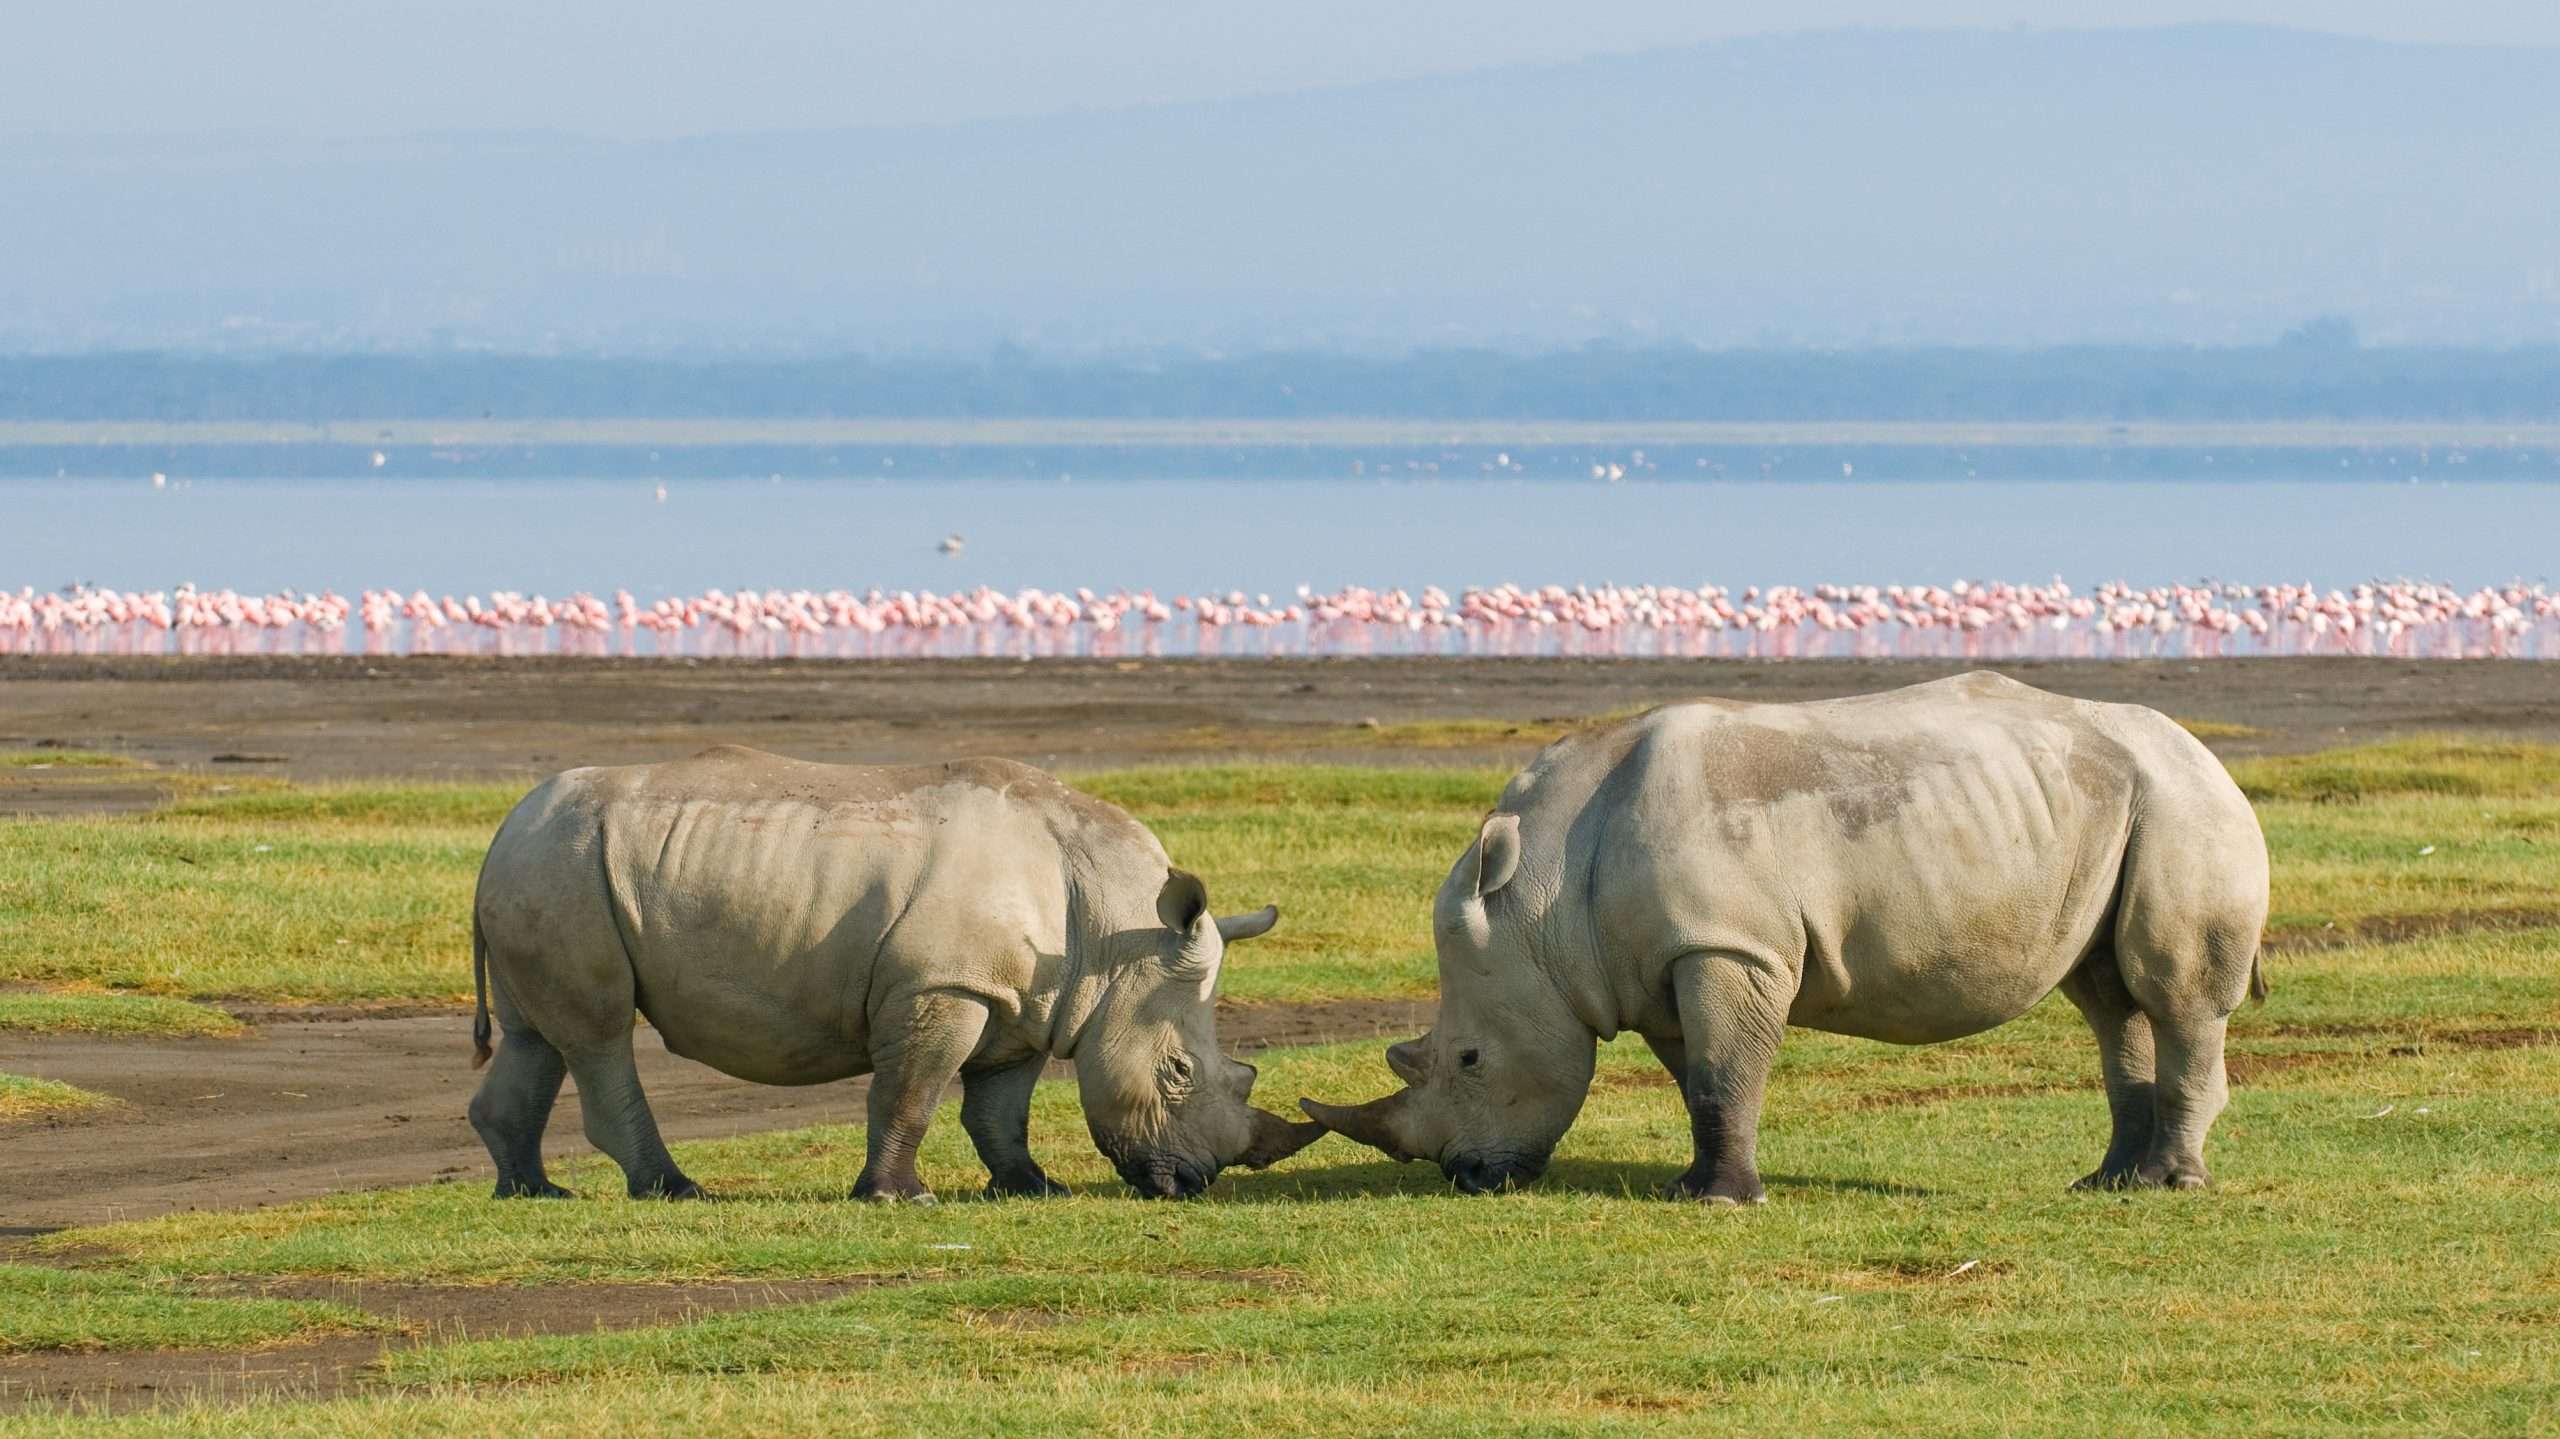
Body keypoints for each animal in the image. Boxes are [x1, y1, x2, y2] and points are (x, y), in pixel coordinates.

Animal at [466, 746, 1321, 1202]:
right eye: (1178, 1071)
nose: (1193, 1182)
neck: (1117, 933)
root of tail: (503, 827)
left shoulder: (1027, 999)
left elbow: (1001, 1108)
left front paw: (1034, 1186)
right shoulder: (943, 983)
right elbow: (912, 1092)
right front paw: (897, 1196)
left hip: (550, 863)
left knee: (537, 1036)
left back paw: (532, 1189)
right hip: (564, 864)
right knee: (600, 1032)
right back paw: (675, 1189)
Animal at [1303, 672, 2269, 1201]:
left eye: (1469, 1060)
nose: (1465, 1174)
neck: (1541, 902)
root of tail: (2210, 756)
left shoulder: (1728, 943)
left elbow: (1724, 1071)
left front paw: (1720, 1202)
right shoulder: (1663, 961)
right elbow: (1701, 1079)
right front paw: (1692, 1186)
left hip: (2186, 807)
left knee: (2172, 993)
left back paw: (2170, 1184)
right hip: (2119, 808)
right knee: (2110, 996)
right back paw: (2107, 1182)